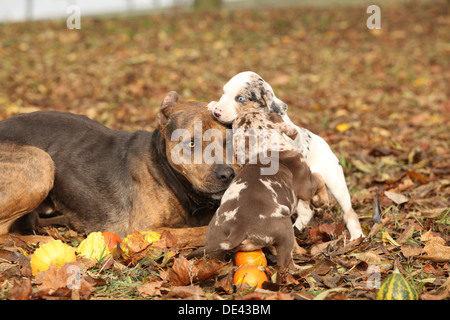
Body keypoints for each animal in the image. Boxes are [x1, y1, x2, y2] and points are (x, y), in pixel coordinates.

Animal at [197, 110, 326, 270]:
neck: (264, 146)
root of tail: (239, 228)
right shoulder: (306, 185)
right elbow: (319, 178)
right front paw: (323, 201)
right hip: (285, 228)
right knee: (285, 263)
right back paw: (306, 267)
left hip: (215, 242)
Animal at [209, 70, 364, 240]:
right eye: (223, 92)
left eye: (240, 99)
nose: (216, 112)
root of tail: (324, 142)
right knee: (308, 209)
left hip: (336, 183)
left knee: (348, 212)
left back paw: (357, 235)